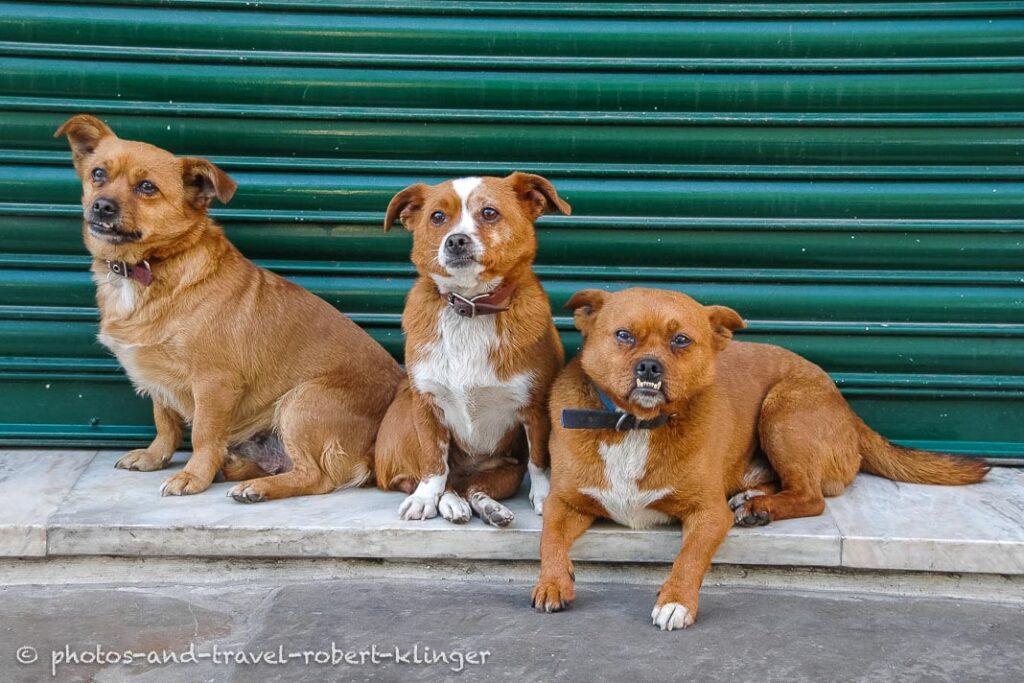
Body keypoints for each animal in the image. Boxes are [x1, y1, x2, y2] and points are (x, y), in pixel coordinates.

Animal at [54, 116, 401, 501]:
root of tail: (372, 454)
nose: (102, 206)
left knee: (316, 477)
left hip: (301, 401)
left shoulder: (214, 383)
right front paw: (155, 457)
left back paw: (257, 488)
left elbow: (203, 435)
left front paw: (192, 476)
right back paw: (236, 468)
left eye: (146, 187)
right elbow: (165, 422)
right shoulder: (159, 378)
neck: (150, 266)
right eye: (98, 174)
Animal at [374, 174, 569, 528]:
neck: (471, 306)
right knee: (449, 481)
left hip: (506, 473)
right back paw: (451, 503)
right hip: (408, 421)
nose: (455, 241)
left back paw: (489, 508)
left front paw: (544, 496)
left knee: (473, 488)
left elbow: (539, 461)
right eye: (437, 217)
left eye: (489, 212)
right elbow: (434, 464)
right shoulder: (426, 406)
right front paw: (425, 498)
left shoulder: (536, 407)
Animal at [532, 286, 987, 630]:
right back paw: (753, 498)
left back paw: (759, 507)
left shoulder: (708, 513)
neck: (637, 426)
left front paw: (676, 601)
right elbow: (549, 538)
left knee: (811, 496)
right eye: (624, 335)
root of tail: (846, 407)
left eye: (681, 340)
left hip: (782, 410)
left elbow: (690, 556)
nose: (649, 367)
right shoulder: (564, 501)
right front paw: (552, 582)